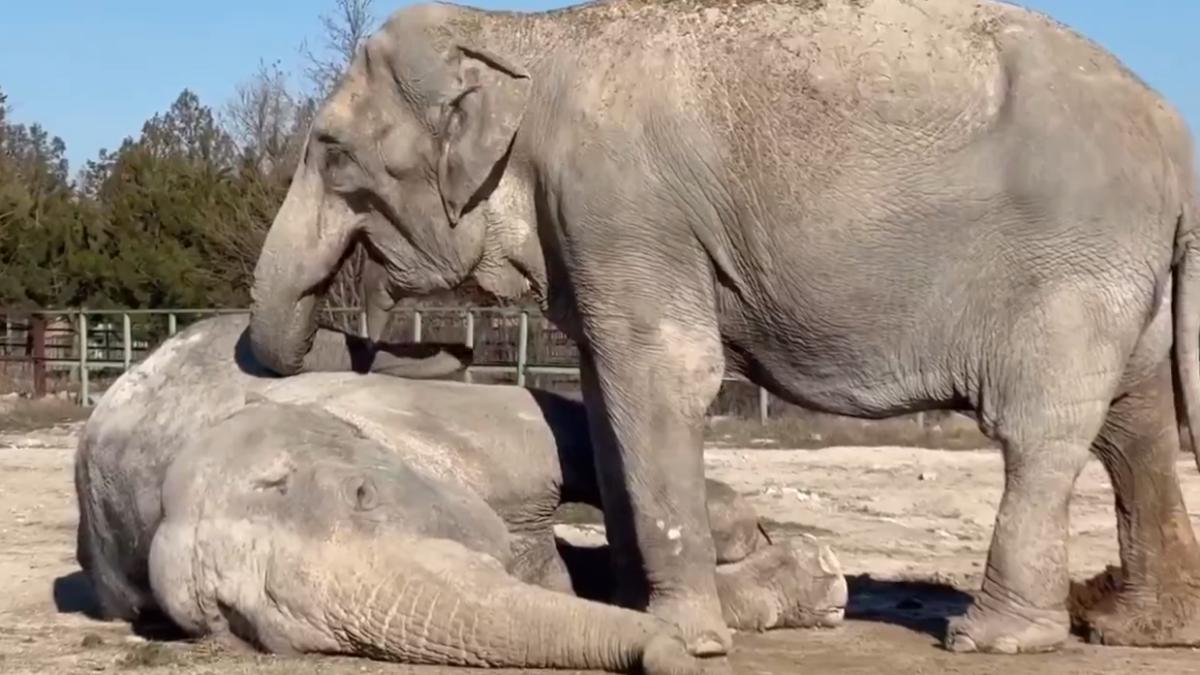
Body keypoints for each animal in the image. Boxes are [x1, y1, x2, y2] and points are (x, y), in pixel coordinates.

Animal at [76, 314, 848, 671]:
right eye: (242, 625)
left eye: (362, 493)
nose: (678, 657)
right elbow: (563, 588)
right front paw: (812, 580)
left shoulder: (442, 419)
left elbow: (570, 437)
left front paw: (754, 540)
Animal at [244, 0, 1200, 657]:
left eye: (331, 150)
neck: (527, 37)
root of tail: (1175, 135)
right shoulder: (593, 228)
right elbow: (608, 391)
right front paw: (639, 613)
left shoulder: (621, 202)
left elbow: (662, 373)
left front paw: (688, 638)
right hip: (1123, 271)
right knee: (1135, 420)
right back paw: (1136, 626)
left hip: (1074, 264)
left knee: (1042, 426)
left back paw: (992, 636)